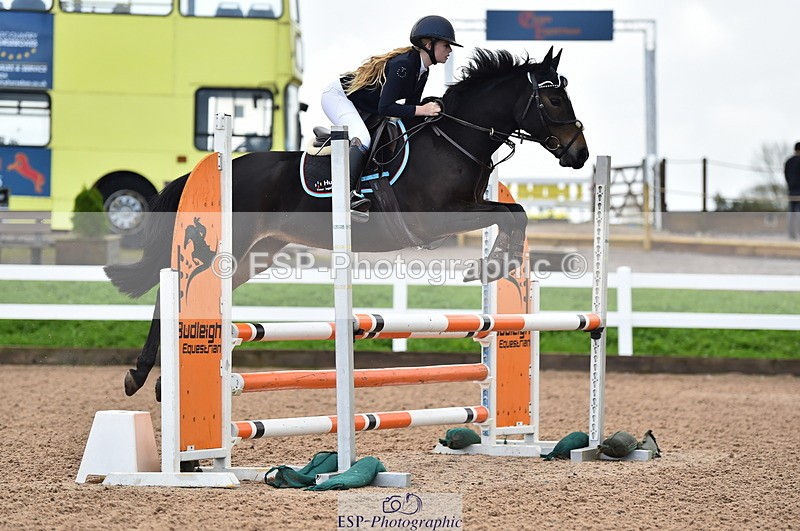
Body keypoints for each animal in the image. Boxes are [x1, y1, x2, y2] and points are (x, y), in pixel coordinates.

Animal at [106, 47, 589, 397]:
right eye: (552, 98)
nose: (579, 154)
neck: (453, 138)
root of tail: (210, 171)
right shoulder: (438, 219)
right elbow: (513, 214)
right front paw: (494, 265)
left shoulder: (467, 209)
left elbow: (514, 215)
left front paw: (495, 265)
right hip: (231, 246)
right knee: (171, 291)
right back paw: (144, 378)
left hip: (255, 254)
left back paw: (158, 383)